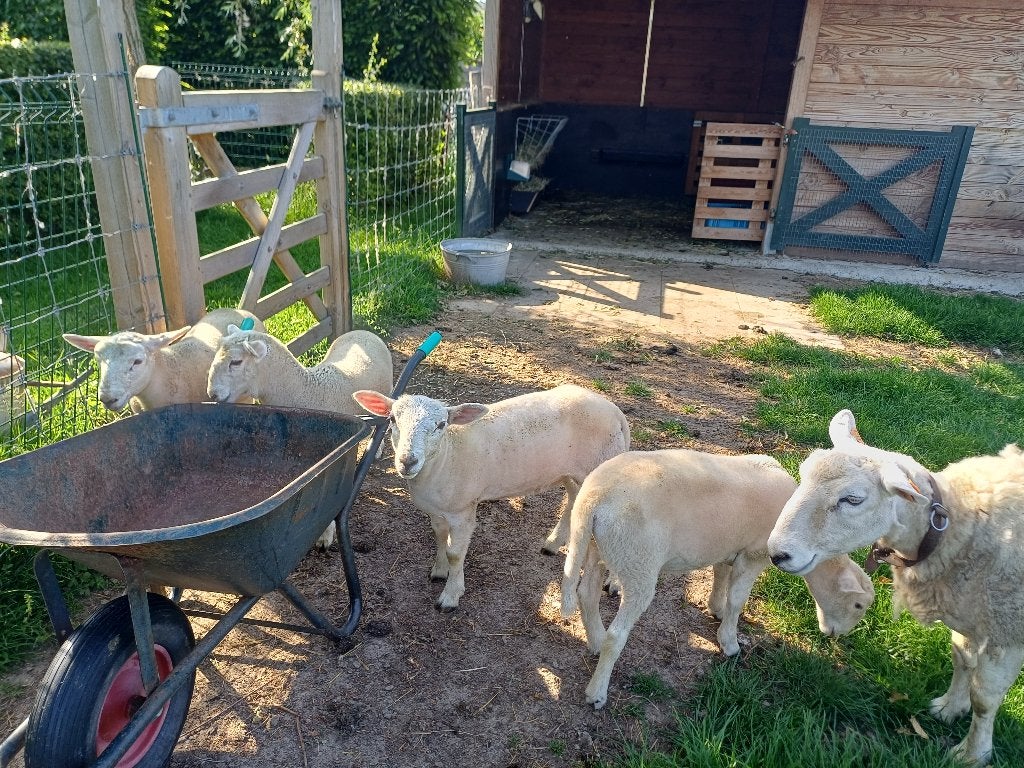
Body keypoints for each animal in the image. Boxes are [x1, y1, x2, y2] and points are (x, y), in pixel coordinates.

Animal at [208, 327, 393, 549]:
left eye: (236, 362)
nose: (212, 394)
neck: (307, 391)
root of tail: (362, 331)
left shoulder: (334, 458)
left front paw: (325, 534)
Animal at [352, 383, 631, 610]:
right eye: (392, 419)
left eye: (441, 425)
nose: (407, 461)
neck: (447, 455)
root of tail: (614, 411)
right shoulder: (438, 510)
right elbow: (439, 538)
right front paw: (439, 571)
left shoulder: (463, 511)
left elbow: (455, 553)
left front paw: (451, 596)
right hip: (572, 473)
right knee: (573, 499)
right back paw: (552, 544)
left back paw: (615, 584)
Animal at [559, 448, 875, 709]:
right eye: (859, 606)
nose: (837, 636)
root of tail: (593, 497)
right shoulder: (754, 554)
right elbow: (737, 599)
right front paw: (730, 642)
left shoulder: (727, 547)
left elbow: (720, 577)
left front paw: (716, 609)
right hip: (638, 561)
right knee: (617, 634)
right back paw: (597, 691)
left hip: (599, 548)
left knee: (586, 594)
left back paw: (595, 641)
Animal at [767, 409, 1024, 766]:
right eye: (803, 476)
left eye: (853, 499)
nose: (778, 553)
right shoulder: (969, 614)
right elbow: (962, 660)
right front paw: (950, 708)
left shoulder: (1005, 631)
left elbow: (984, 699)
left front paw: (972, 754)